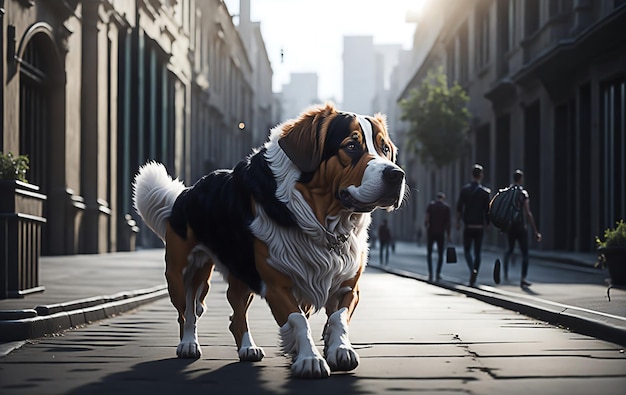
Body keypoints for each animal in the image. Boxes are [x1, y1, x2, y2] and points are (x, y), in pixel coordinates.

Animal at [132, 103, 404, 378]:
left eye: (385, 149)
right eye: (351, 146)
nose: (396, 175)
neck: (320, 218)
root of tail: (186, 192)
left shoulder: (347, 285)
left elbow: (338, 318)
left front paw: (340, 350)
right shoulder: (277, 283)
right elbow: (298, 320)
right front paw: (309, 359)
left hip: (243, 275)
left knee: (235, 313)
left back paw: (247, 348)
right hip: (185, 272)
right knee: (187, 309)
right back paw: (188, 344)